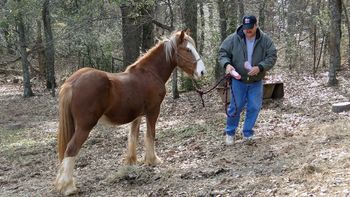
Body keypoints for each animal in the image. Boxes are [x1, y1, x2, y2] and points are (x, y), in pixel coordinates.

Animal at [53, 30, 204, 195]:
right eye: (188, 50)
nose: (202, 72)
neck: (150, 73)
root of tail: (71, 82)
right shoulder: (153, 111)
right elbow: (150, 135)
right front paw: (153, 160)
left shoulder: (137, 116)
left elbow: (133, 137)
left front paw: (131, 162)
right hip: (85, 126)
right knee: (71, 148)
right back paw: (68, 187)